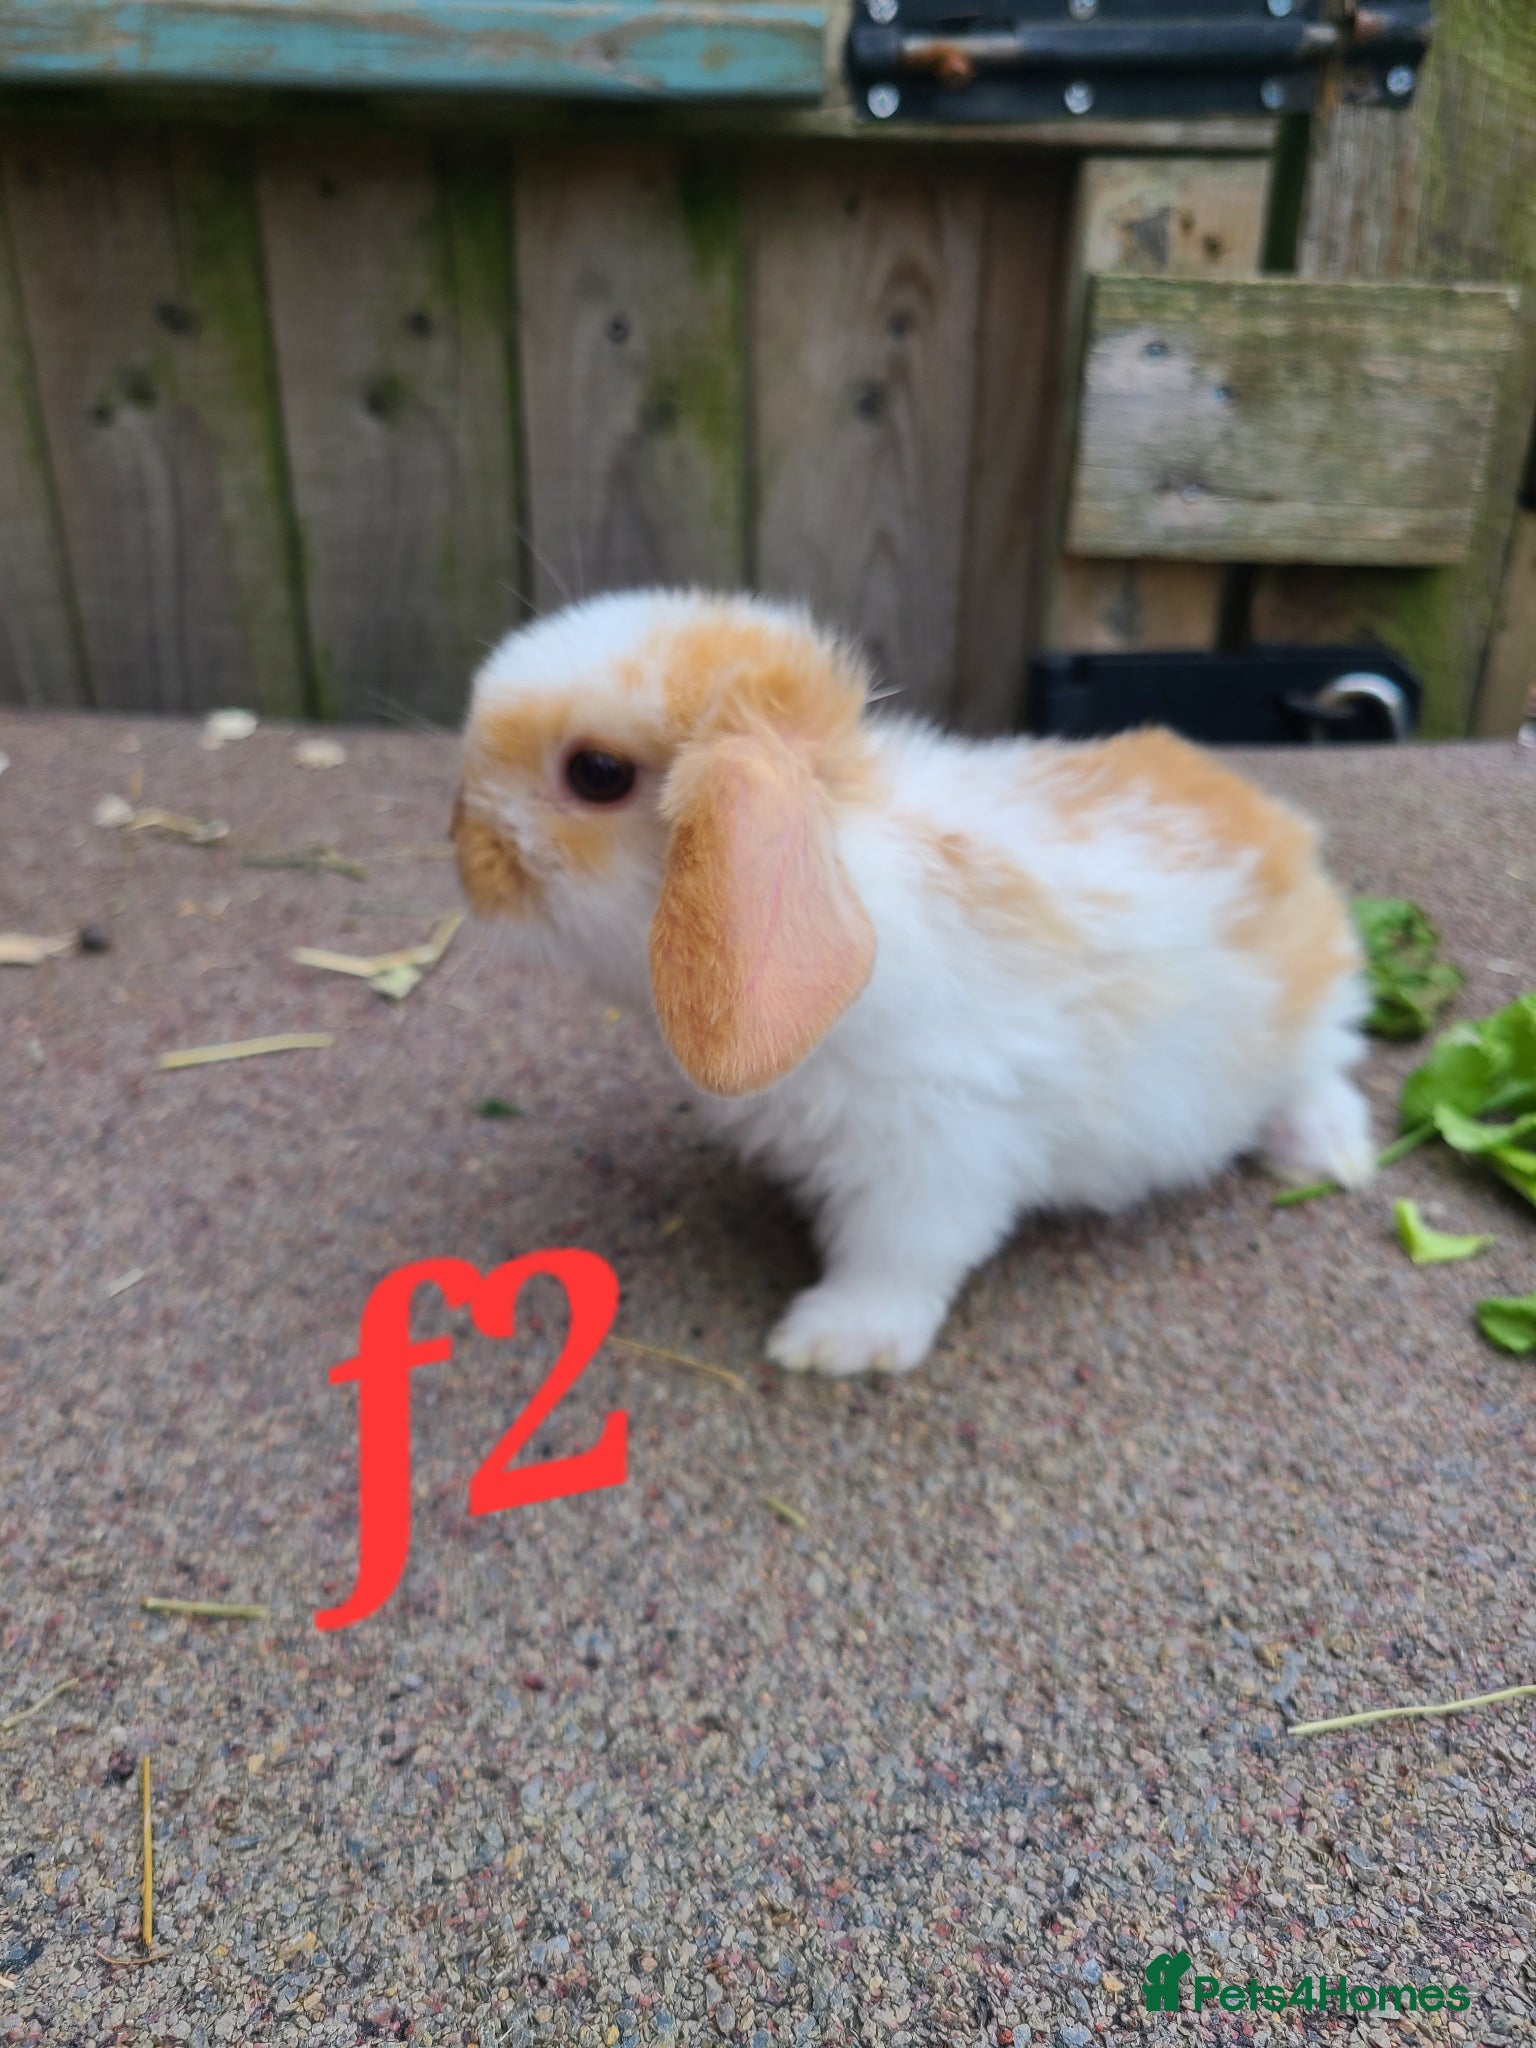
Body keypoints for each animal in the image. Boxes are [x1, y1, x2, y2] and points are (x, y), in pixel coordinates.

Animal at [452, 588, 1374, 1378]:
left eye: (597, 773)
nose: (462, 845)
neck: (842, 845)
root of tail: (1283, 829)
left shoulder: (932, 1148)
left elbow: (899, 1255)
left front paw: (829, 1343)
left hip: (1299, 1025)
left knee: (1321, 1077)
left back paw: (1329, 1154)